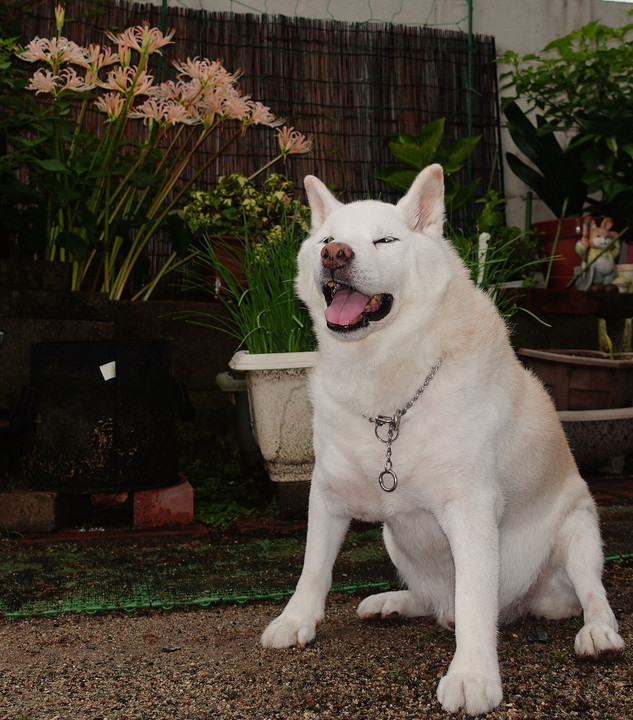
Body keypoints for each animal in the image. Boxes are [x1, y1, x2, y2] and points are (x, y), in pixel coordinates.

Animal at [258, 165, 624, 720]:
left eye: (385, 240)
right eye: (326, 239)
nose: (336, 254)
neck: (386, 387)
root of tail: (527, 603)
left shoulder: (469, 510)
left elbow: (475, 602)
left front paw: (472, 676)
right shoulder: (327, 494)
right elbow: (312, 569)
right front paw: (295, 620)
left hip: (579, 531)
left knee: (588, 594)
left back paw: (599, 633)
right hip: (395, 540)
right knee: (438, 601)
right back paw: (393, 603)